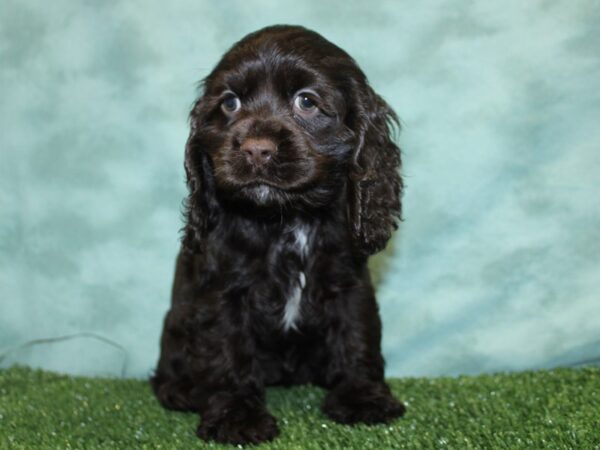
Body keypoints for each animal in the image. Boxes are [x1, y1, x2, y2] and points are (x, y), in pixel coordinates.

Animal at [150, 25, 406, 446]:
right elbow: (227, 351)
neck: (287, 218)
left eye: (307, 101)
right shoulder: (222, 291)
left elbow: (357, 335)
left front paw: (363, 399)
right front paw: (236, 417)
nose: (256, 150)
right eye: (230, 103)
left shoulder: (348, 282)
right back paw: (181, 390)